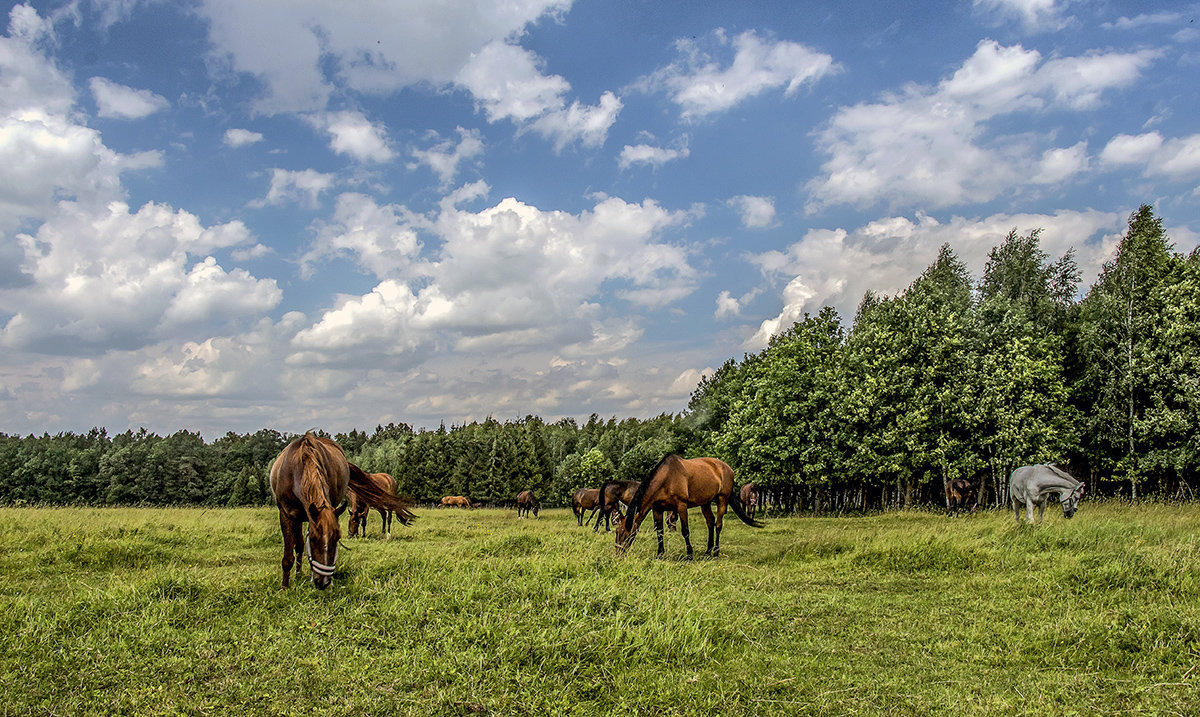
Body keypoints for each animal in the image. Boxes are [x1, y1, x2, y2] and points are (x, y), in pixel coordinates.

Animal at [272, 431, 417, 589]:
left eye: (337, 538)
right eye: (313, 539)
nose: (323, 582)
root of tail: (391, 478)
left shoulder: (363, 506)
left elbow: (363, 520)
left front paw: (361, 534)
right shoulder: (287, 514)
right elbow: (292, 551)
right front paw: (285, 586)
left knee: (389, 516)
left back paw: (388, 534)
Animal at [614, 455, 763, 561]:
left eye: (623, 532)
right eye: (616, 532)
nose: (618, 553)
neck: (666, 479)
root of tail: (728, 468)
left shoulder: (681, 506)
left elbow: (685, 531)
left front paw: (689, 556)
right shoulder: (657, 509)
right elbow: (659, 532)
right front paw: (660, 555)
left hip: (722, 500)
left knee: (718, 525)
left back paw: (715, 552)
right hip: (705, 503)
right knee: (710, 522)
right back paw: (707, 552)